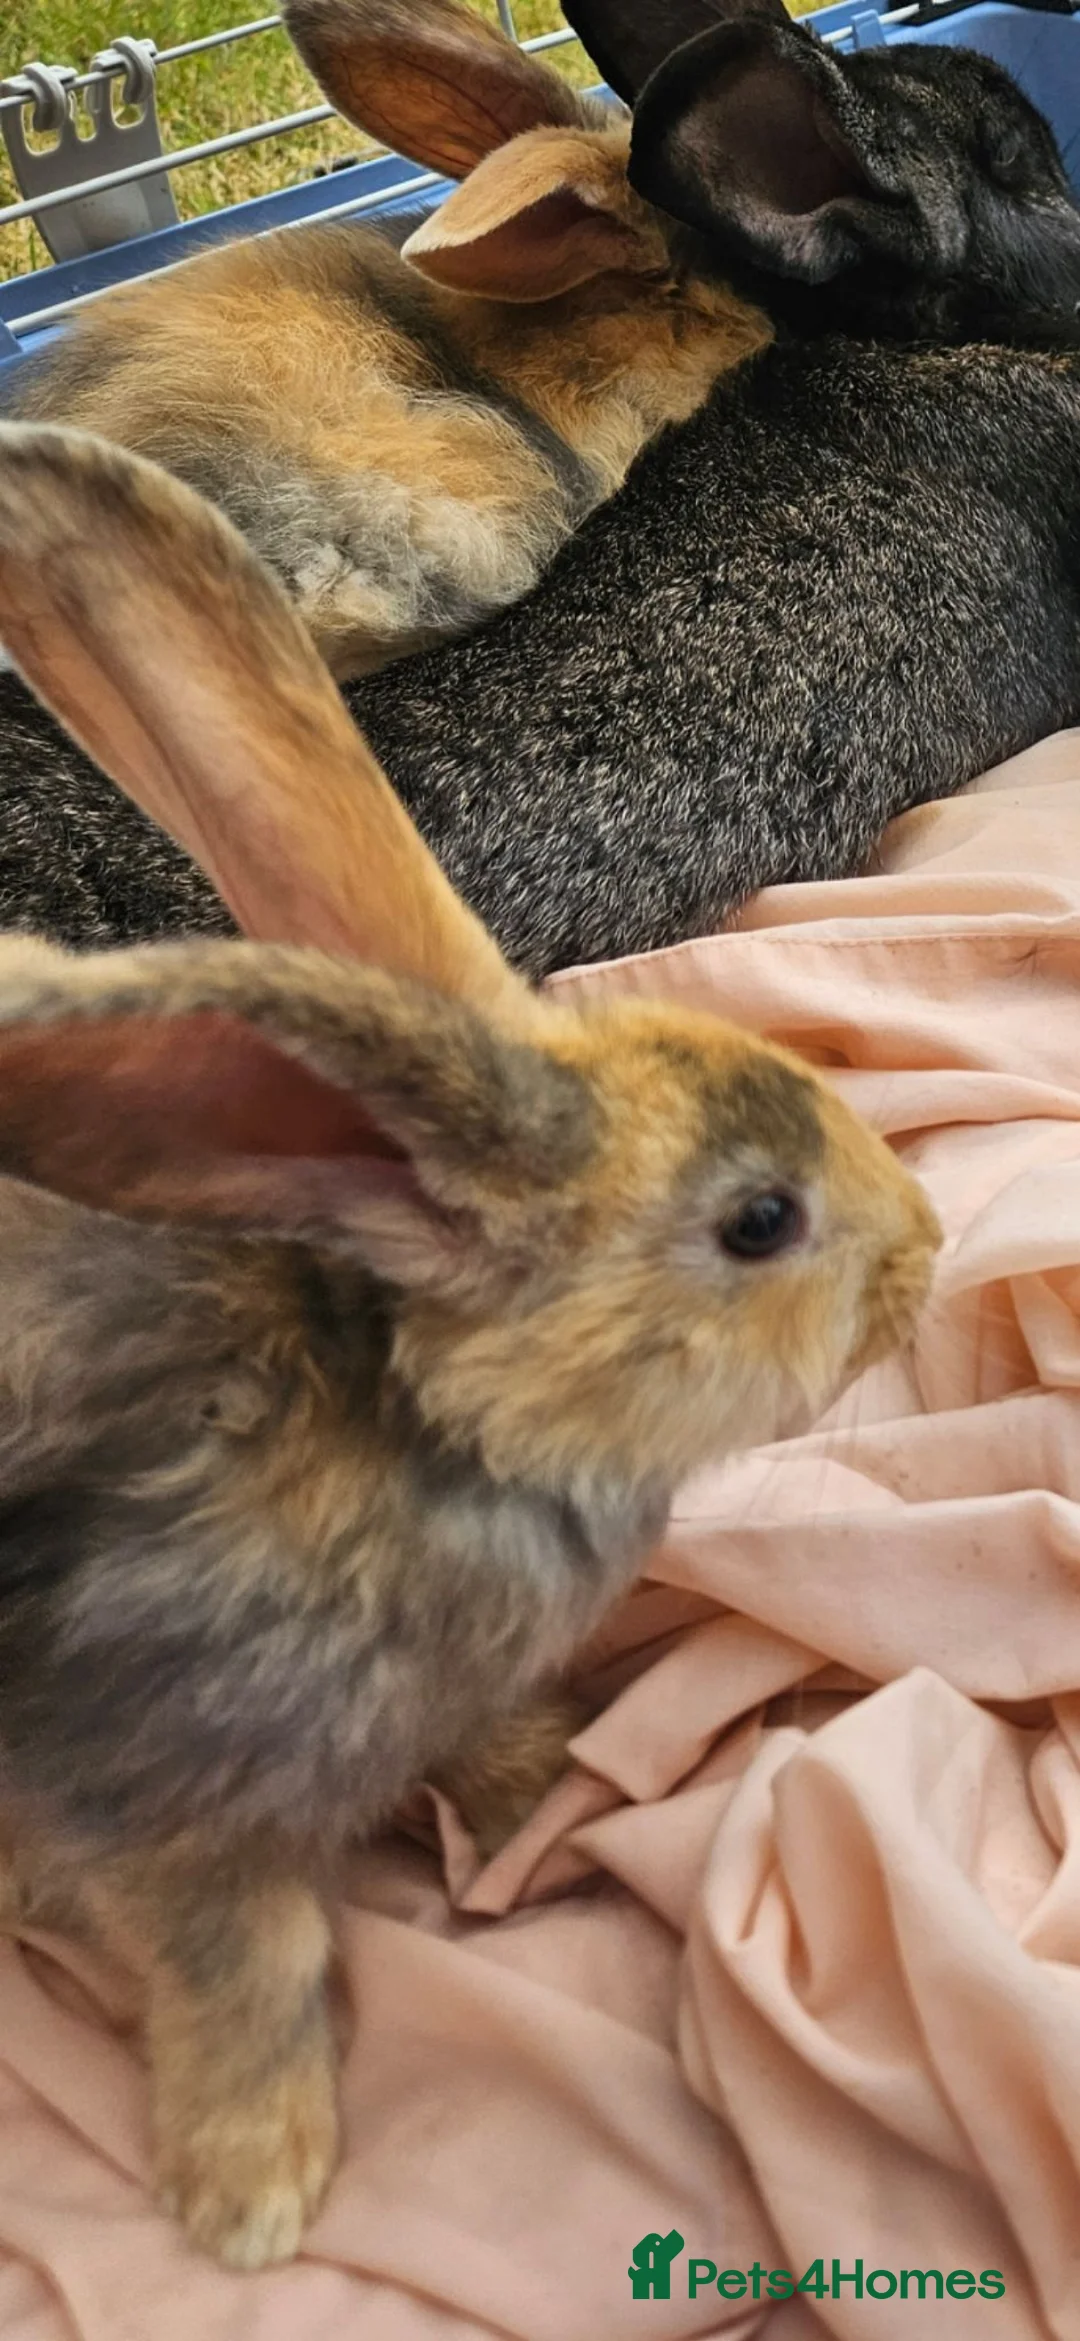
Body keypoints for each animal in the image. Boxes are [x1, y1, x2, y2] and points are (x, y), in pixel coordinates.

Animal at [0, 418, 940, 2270]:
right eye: (759, 1221)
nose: (931, 1255)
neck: (428, 1426)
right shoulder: (157, 1795)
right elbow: (253, 1966)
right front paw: (251, 2194)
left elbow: (486, 1745)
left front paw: (553, 1804)